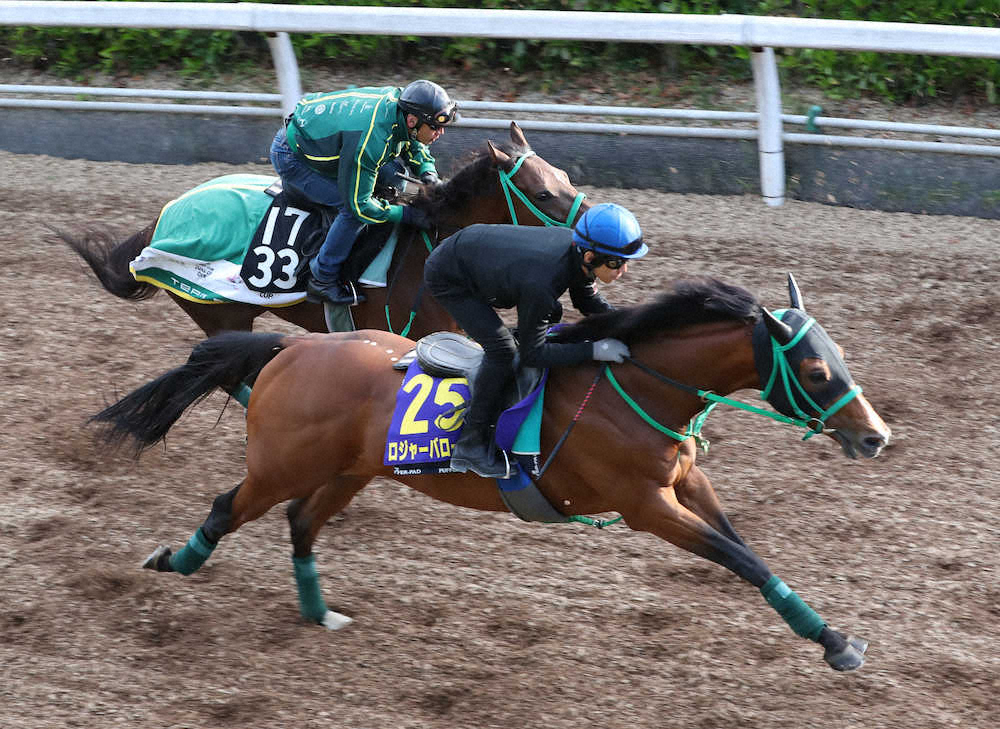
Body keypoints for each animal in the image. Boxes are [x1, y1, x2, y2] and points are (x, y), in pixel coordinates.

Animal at [56, 123, 584, 340]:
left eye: (567, 177)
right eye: (542, 195)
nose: (589, 225)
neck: (428, 248)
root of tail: (162, 220)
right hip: (218, 310)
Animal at [92, 274, 892, 672]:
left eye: (842, 356)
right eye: (817, 370)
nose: (876, 436)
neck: (637, 385)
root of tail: (289, 350)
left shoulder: (685, 486)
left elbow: (750, 554)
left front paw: (825, 634)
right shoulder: (645, 506)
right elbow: (737, 558)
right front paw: (837, 645)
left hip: (353, 468)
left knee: (300, 522)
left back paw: (320, 612)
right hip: (281, 464)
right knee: (227, 506)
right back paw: (173, 560)